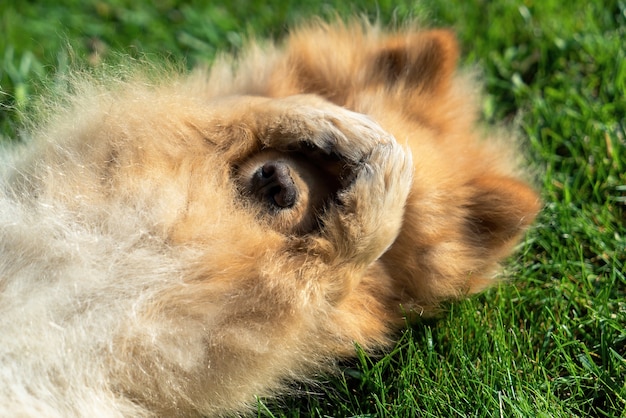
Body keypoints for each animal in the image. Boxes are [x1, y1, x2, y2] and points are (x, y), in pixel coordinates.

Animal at [0, 18, 536, 414]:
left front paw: (383, 189)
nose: (281, 183)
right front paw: (321, 116)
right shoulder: (65, 168)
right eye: (319, 161)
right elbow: (220, 112)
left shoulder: (200, 335)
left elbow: (327, 271)